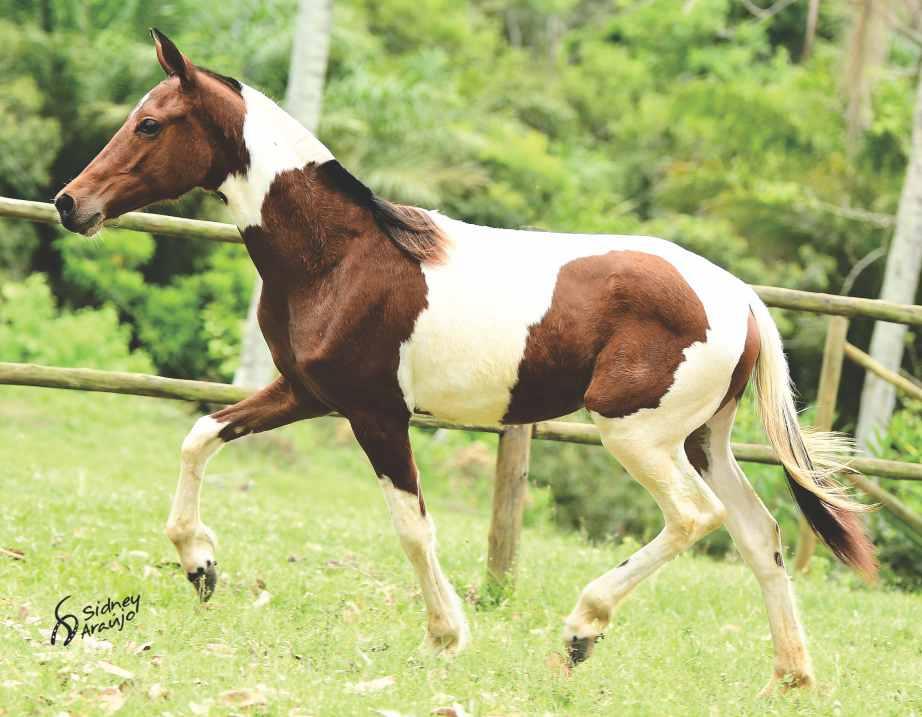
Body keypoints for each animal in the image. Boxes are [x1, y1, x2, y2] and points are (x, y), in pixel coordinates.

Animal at [54, 29, 872, 692]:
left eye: (150, 122)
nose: (70, 203)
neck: (341, 256)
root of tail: (742, 299)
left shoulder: (377, 414)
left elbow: (413, 527)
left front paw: (447, 637)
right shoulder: (305, 392)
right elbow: (200, 434)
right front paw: (200, 565)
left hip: (636, 432)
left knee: (696, 517)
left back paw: (581, 631)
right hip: (703, 438)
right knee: (759, 533)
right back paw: (790, 676)